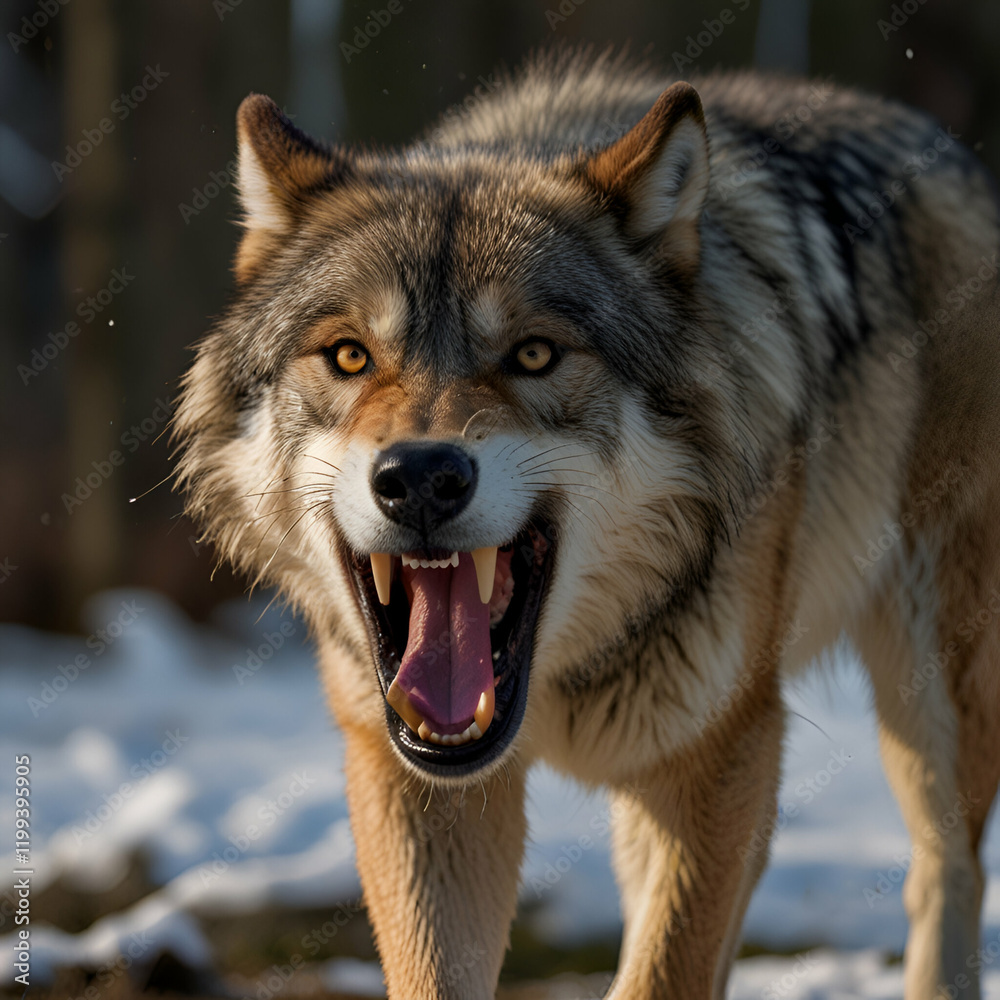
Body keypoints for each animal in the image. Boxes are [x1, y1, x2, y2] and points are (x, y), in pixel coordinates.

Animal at [174, 48, 1000, 999]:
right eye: (349, 356)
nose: (419, 478)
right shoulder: (416, 779)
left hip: (926, 690)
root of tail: (944, 144)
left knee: (947, 871)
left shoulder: (717, 752)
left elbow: (664, 974)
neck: (558, 679)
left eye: (534, 354)